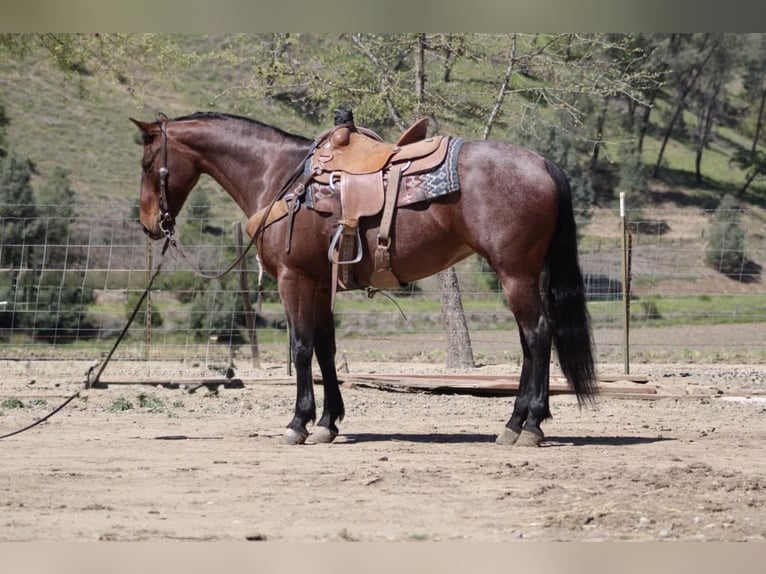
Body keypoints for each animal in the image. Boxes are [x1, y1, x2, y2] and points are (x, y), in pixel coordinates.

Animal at [131, 111, 597, 447]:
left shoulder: (293, 279)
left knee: (537, 334)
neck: (277, 175)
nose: (150, 224)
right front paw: (327, 422)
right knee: (531, 340)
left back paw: (527, 426)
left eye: (148, 162)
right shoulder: (321, 282)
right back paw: (521, 421)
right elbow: (325, 349)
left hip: (514, 273)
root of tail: (542, 163)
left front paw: (298, 422)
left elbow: (301, 348)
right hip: (523, 274)